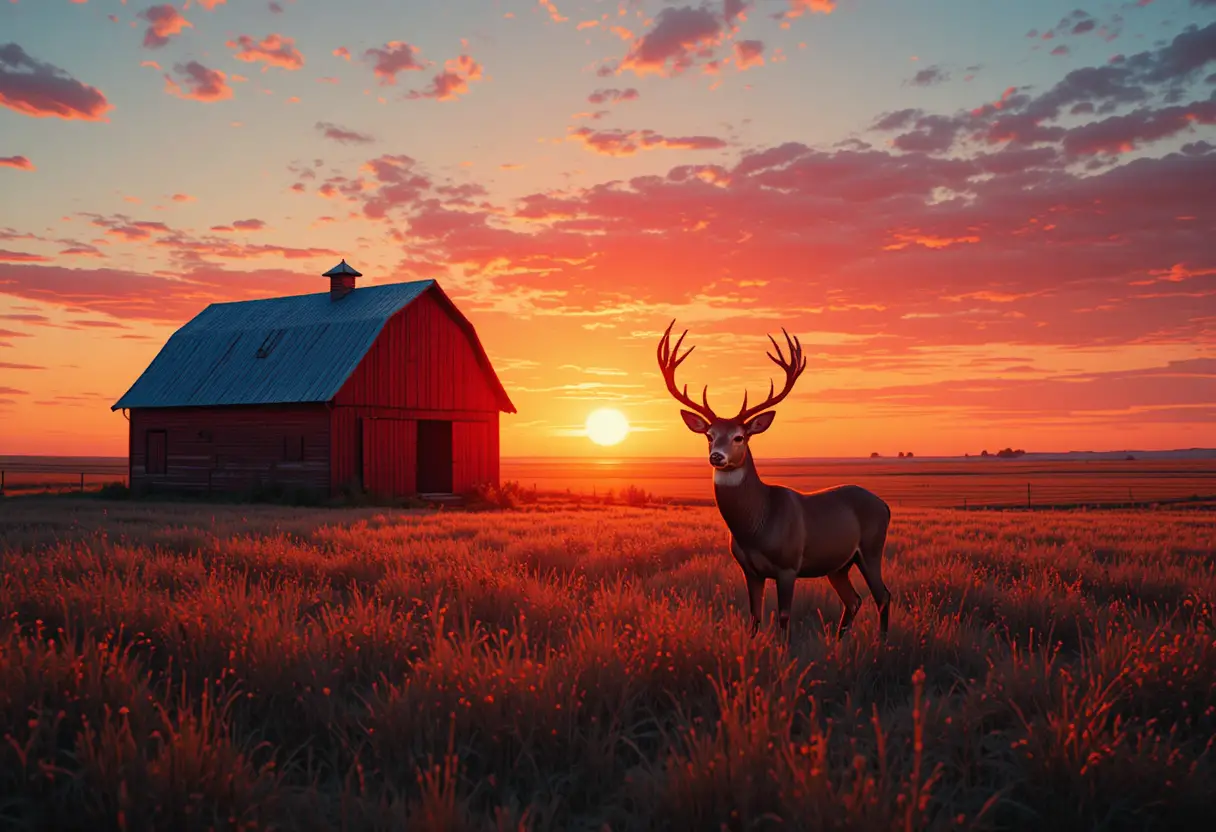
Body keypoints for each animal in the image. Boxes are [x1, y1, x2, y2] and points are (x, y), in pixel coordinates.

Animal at [656, 320, 893, 644]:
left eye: (739, 436)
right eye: (709, 435)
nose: (716, 456)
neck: (758, 523)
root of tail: (885, 505)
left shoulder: (788, 565)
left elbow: (783, 617)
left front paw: (783, 653)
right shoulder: (750, 570)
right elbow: (755, 616)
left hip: (871, 547)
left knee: (882, 596)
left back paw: (882, 644)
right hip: (839, 565)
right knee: (854, 599)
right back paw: (838, 643)